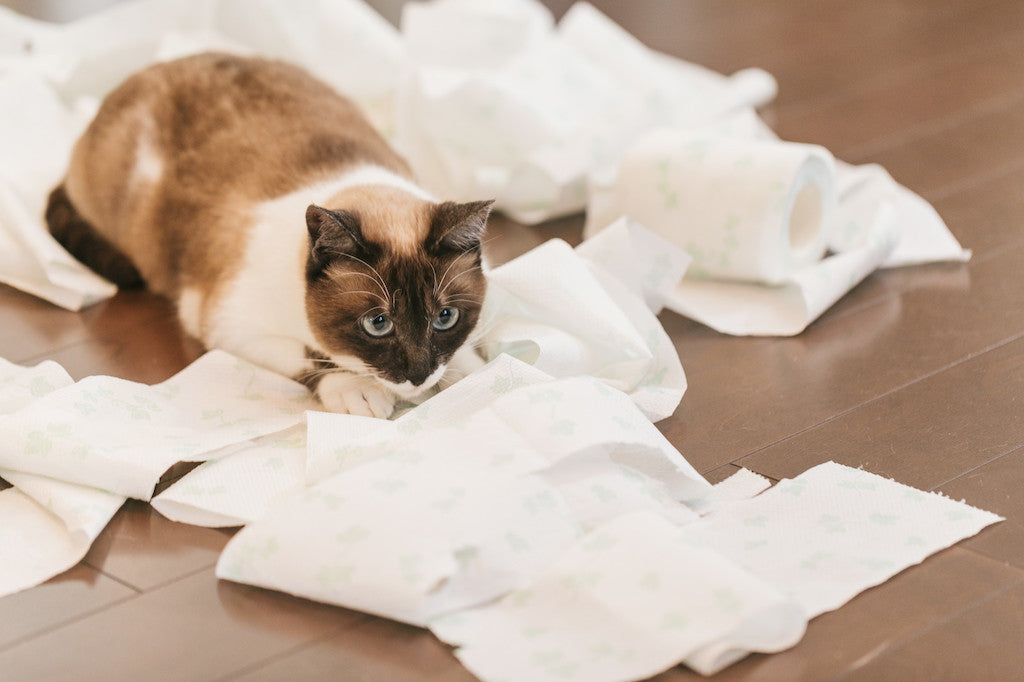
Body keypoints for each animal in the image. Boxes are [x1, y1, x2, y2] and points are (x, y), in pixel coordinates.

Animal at [47, 53, 491, 417]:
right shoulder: (228, 325)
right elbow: (310, 356)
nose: (419, 376)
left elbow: (467, 357)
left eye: (445, 317)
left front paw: (471, 372)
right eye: (377, 323)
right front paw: (356, 388)